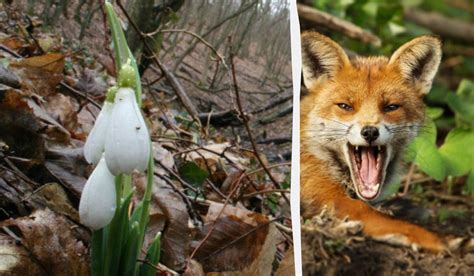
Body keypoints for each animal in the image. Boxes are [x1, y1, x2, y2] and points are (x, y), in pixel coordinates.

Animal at [300, 31, 444, 251]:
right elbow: (382, 218)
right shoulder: (326, 195)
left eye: (391, 107)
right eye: (345, 106)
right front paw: (433, 239)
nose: (369, 132)